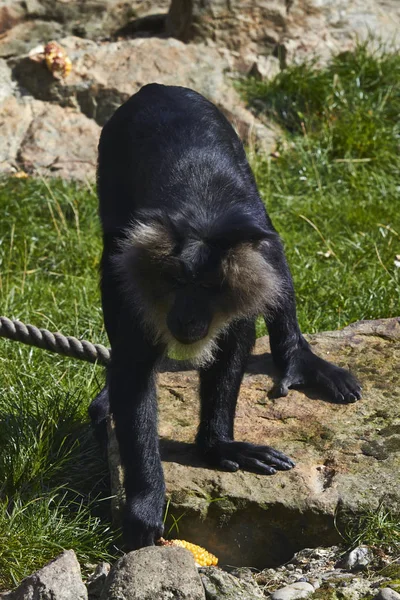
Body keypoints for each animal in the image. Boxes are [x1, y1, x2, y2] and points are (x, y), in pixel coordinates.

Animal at [90, 82, 360, 552]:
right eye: (177, 280)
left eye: (209, 286)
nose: (186, 319)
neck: (202, 215)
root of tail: (155, 87)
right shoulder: (140, 286)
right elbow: (131, 372)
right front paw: (145, 501)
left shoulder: (249, 254)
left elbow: (239, 335)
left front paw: (218, 446)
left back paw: (295, 357)